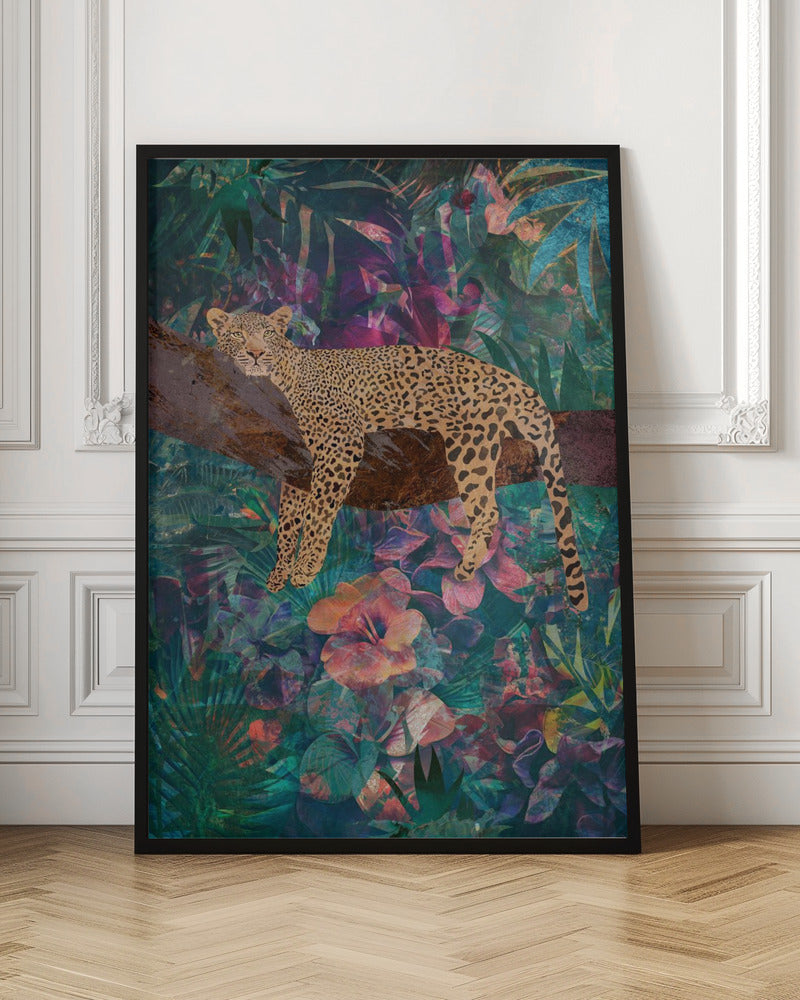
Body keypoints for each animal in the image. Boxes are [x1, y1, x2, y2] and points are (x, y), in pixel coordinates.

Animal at [206, 305, 589, 611]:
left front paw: (306, 567)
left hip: (469, 443)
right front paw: (279, 573)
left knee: (487, 509)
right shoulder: (296, 465)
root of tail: (514, 381)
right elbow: (288, 523)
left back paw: (465, 568)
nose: (256, 353)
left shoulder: (341, 442)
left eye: (268, 333)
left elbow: (318, 511)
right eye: (238, 334)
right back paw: (467, 567)